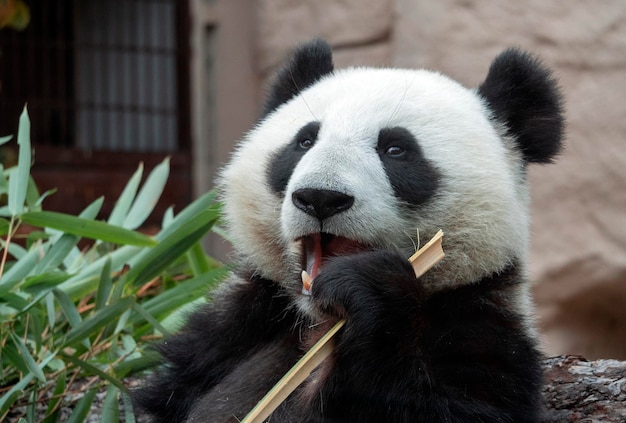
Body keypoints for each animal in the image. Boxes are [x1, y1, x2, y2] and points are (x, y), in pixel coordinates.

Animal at [134, 38, 564, 422]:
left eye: (395, 149)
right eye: (305, 140)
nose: (320, 197)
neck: (320, 321)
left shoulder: (481, 330)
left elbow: (447, 405)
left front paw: (366, 287)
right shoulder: (230, 334)